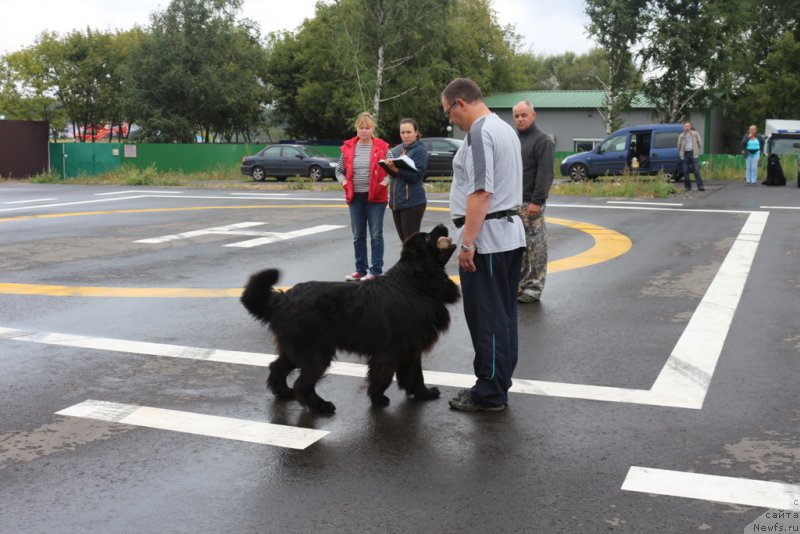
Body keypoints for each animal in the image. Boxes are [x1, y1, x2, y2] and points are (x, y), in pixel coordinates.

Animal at [241, 224, 460, 416]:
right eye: (427, 237)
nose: (442, 224)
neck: (414, 283)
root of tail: (283, 298)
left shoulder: (412, 347)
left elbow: (416, 374)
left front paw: (424, 394)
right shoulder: (394, 349)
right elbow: (385, 375)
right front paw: (378, 398)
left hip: (295, 349)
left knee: (277, 368)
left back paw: (286, 393)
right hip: (316, 352)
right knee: (302, 384)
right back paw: (321, 406)